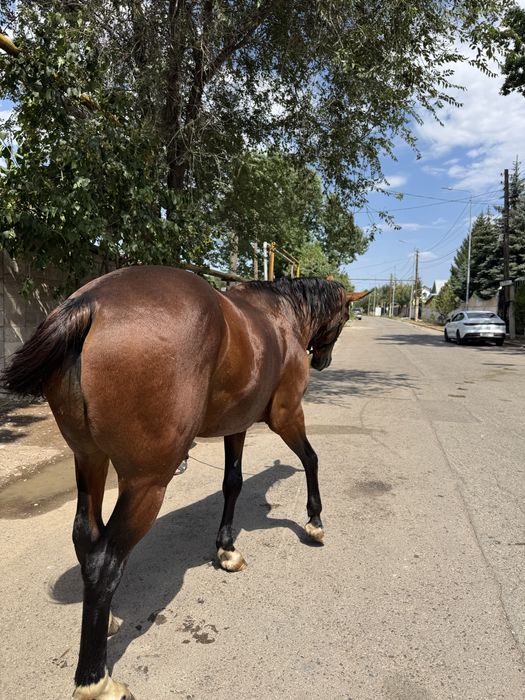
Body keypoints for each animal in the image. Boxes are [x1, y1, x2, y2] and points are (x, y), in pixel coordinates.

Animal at [1, 266, 349, 700]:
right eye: (345, 317)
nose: (322, 361)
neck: (279, 317)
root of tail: (92, 302)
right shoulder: (287, 414)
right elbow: (311, 460)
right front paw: (314, 521)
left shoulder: (236, 424)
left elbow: (233, 482)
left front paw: (226, 549)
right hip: (147, 483)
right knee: (104, 563)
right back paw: (96, 681)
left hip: (89, 460)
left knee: (86, 534)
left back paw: (105, 620)